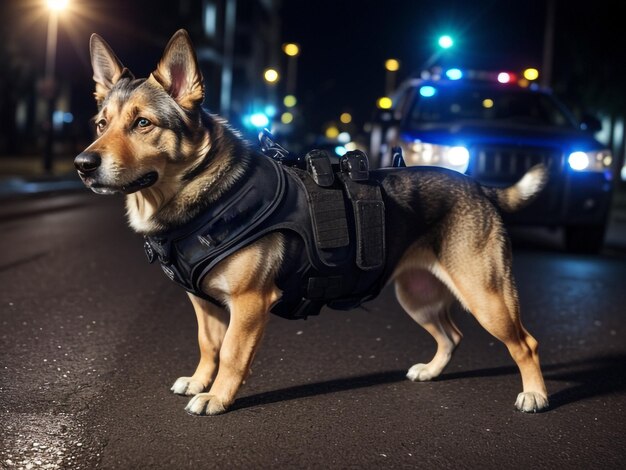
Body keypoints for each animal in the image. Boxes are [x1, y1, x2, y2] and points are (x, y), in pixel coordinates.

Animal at [75, 29, 548, 414]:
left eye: (143, 123)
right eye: (101, 124)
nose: (82, 164)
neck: (204, 196)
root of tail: (478, 187)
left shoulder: (249, 303)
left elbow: (231, 353)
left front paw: (217, 397)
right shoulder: (204, 303)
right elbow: (209, 346)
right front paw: (199, 380)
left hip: (486, 296)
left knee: (525, 343)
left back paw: (535, 394)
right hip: (418, 295)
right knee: (451, 336)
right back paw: (432, 371)